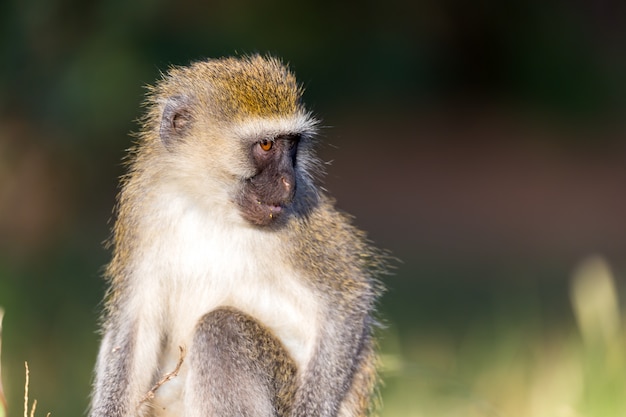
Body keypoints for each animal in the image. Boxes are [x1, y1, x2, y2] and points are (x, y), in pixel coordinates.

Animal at [91, 54, 386, 416]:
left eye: (292, 146)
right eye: (266, 144)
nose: (289, 182)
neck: (210, 204)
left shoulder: (299, 217)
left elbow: (347, 299)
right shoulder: (142, 208)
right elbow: (133, 329)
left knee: (221, 329)